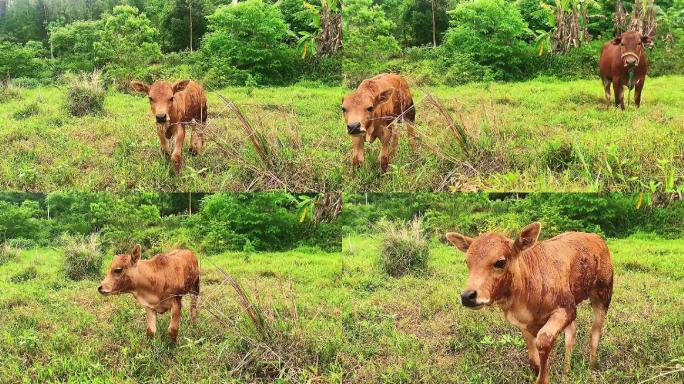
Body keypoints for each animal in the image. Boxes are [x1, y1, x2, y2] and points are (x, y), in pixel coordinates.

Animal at [446, 222, 612, 384]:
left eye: (500, 262)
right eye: (467, 262)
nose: (467, 296)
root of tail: (595, 237)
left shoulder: (566, 308)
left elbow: (543, 341)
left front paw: (544, 379)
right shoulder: (526, 323)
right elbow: (533, 360)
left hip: (603, 294)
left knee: (594, 333)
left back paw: (592, 367)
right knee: (571, 334)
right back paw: (566, 373)